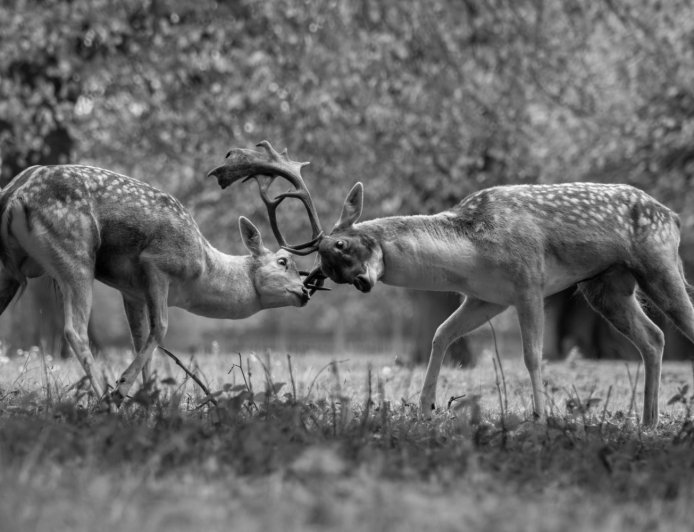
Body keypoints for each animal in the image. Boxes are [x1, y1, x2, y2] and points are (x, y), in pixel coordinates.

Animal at [0, 163, 316, 406]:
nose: (305, 292)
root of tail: (17, 194)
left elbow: (140, 340)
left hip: (11, 270)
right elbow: (161, 328)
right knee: (74, 330)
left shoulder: (131, 291)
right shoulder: (157, 265)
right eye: (283, 262)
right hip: (75, 253)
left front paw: (148, 403)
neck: (200, 272)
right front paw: (121, 391)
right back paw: (103, 399)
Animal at [209, 140, 694, 428]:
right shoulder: (486, 297)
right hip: (606, 286)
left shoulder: (529, 279)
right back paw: (648, 420)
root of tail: (672, 216)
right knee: (653, 337)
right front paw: (426, 407)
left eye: (342, 245)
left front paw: (539, 416)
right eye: (327, 269)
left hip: (658, 261)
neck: (473, 250)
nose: (364, 282)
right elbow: (441, 334)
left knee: (678, 324)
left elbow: (533, 355)